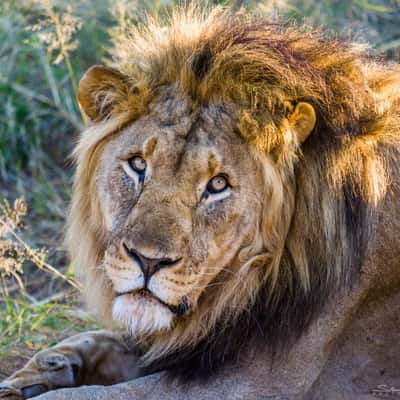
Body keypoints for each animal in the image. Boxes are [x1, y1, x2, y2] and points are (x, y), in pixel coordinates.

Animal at [0, 6, 400, 400]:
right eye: (138, 165)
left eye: (217, 184)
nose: (148, 261)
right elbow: (98, 340)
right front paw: (35, 374)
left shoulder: (259, 381)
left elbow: (97, 394)